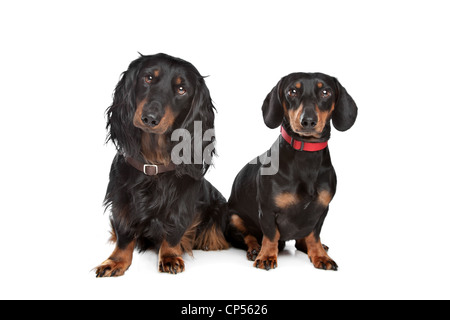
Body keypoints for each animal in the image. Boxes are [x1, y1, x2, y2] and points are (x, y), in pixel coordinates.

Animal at [229, 72, 358, 270]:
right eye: (292, 91)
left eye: (326, 92)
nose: (308, 121)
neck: (306, 155)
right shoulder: (267, 210)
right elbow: (270, 235)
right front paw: (266, 256)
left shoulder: (321, 210)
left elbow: (314, 236)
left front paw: (320, 256)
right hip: (233, 217)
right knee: (248, 236)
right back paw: (255, 249)